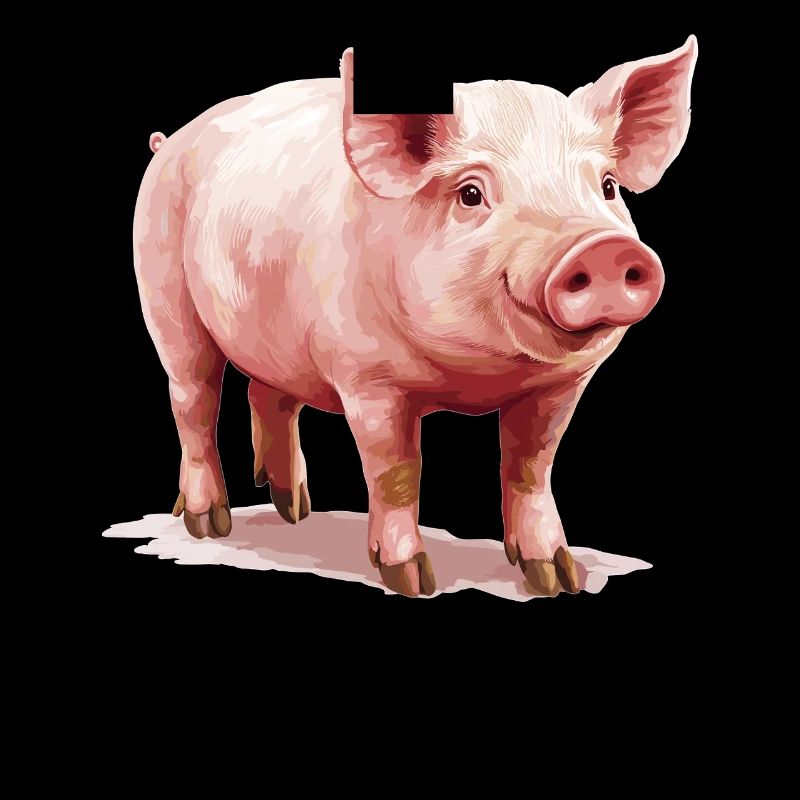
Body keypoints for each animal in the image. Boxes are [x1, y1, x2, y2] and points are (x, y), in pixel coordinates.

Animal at [133, 39, 697, 597]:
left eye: (607, 187)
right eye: (471, 193)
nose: (603, 248)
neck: (477, 377)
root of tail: (169, 142)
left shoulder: (561, 385)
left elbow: (531, 467)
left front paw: (558, 579)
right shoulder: (368, 379)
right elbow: (397, 471)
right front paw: (411, 581)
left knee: (269, 395)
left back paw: (295, 510)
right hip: (164, 295)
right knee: (193, 400)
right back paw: (209, 524)